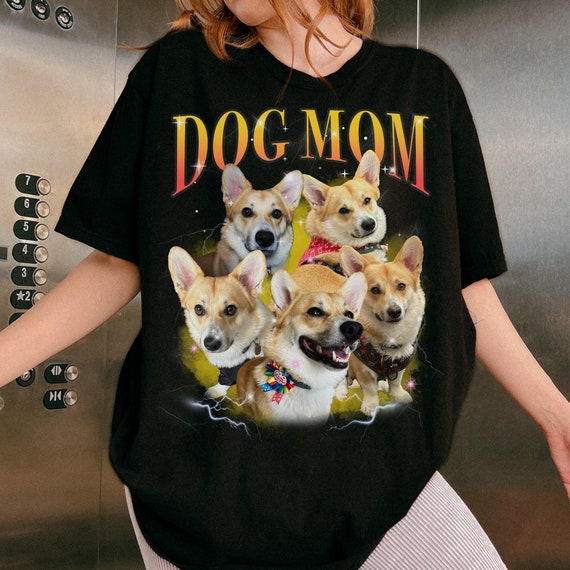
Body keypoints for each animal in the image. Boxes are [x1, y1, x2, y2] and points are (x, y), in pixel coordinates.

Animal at [336, 236, 425, 416]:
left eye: (401, 286)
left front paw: (398, 395)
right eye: (375, 290)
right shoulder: (362, 370)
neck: (389, 338)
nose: (394, 311)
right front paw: (370, 406)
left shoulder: (398, 366)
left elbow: (396, 382)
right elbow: (369, 388)